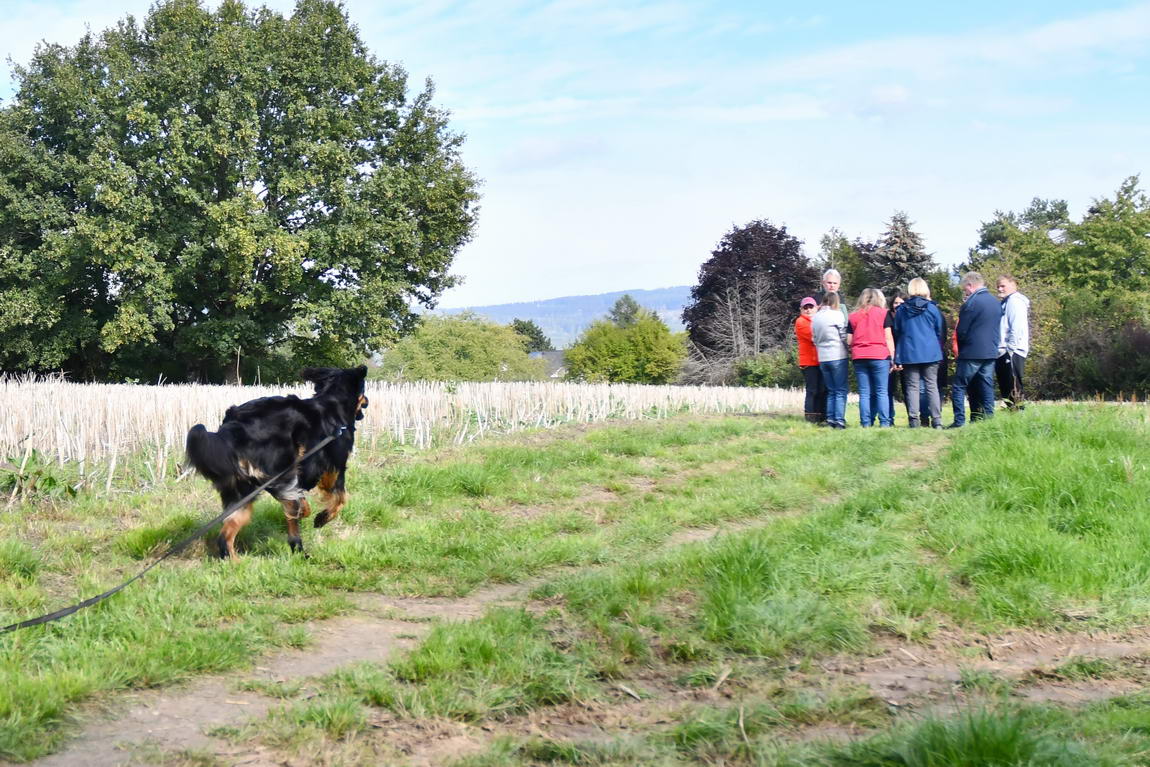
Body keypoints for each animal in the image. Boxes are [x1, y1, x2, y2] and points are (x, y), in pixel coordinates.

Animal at [186, 365, 368, 558]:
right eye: (363, 391)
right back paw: (300, 551)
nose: (367, 401)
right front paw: (322, 518)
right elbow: (340, 498)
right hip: (279, 473)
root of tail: (234, 426)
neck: (333, 402)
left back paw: (236, 562)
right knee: (291, 518)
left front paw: (308, 511)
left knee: (225, 536)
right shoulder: (335, 466)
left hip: (242, 490)